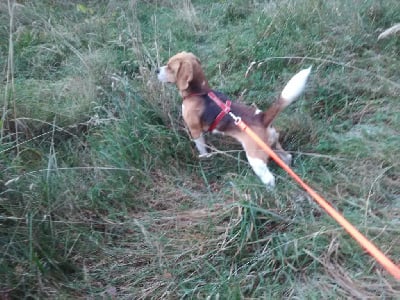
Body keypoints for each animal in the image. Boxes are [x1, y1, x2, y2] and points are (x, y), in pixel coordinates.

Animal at [157, 51, 312, 188]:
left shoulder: (195, 130)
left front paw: (204, 157)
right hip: (273, 146)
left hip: (255, 158)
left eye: (170, 67)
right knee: (287, 157)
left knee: (269, 178)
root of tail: (262, 117)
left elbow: (201, 147)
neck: (199, 92)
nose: (156, 70)